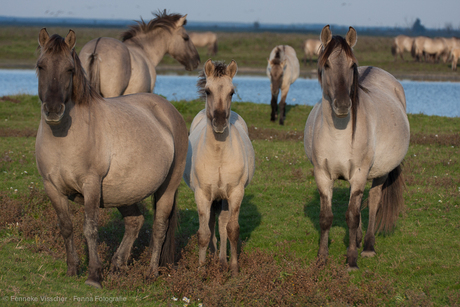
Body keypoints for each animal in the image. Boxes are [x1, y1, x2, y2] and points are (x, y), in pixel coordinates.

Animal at [33, 28, 189, 288]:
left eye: (70, 69)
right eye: (40, 66)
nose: (53, 110)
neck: (63, 138)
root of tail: (169, 111)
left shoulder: (91, 185)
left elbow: (90, 228)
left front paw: (94, 275)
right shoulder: (52, 187)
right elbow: (66, 227)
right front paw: (72, 269)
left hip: (167, 188)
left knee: (159, 227)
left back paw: (151, 273)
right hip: (125, 192)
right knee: (135, 221)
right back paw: (118, 265)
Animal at [182, 59, 255, 276]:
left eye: (232, 92)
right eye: (208, 91)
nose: (220, 123)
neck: (219, 157)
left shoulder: (235, 193)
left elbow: (232, 229)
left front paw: (234, 269)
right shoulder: (203, 194)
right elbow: (204, 233)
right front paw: (201, 271)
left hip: (223, 197)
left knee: (221, 224)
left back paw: (221, 261)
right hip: (213, 197)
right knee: (212, 223)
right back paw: (214, 258)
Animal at [306, 26, 410, 272]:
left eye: (352, 65)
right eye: (326, 65)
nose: (343, 105)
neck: (338, 134)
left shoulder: (360, 174)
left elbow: (352, 216)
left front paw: (351, 259)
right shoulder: (322, 175)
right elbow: (326, 217)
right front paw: (322, 258)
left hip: (379, 173)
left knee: (372, 202)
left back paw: (368, 246)